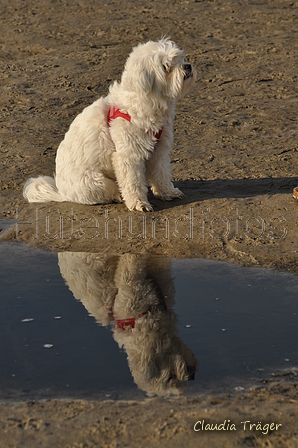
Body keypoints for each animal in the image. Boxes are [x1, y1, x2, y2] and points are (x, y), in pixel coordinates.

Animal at [22, 38, 196, 212]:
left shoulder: (159, 149)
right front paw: (139, 203)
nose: (187, 66)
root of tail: (61, 192)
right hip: (95, 182)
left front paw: (167, 192)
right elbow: (133, 182)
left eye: (180, 59)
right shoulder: (128, 156)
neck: (146, 103)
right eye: (166, 67)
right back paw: (119, 196)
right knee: (110, 190)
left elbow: (162, 173)